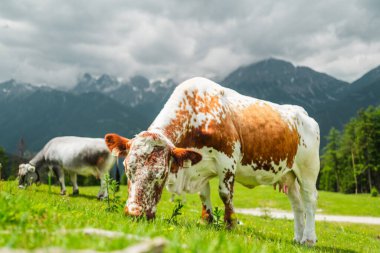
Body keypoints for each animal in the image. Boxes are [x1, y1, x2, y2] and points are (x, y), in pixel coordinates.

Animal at [104, 77, 320, 245]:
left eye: (161, 174)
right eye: (127, 169)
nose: (134, 213)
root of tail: (303, 113)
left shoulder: (228, 159)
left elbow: (224, 193)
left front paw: (231, 223)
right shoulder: (198, 165)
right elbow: (203, 193)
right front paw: (206, 220)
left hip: (308, 170)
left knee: (310, 200)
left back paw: (309, 239)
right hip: (288, 175)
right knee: (297, 204)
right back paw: (298, 238)